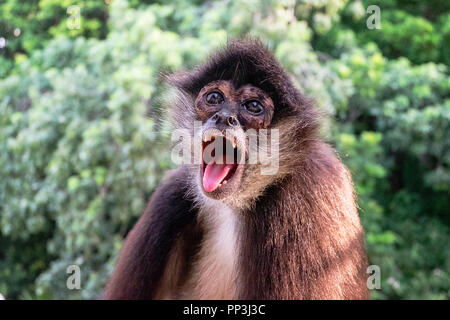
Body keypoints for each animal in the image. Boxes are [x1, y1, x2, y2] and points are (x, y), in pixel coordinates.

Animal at [105, 37, 370, 300]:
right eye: (214, 98)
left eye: (252, 106)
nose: (223, 117)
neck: (233, 205)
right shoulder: (173, 191)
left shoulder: (301, 200)